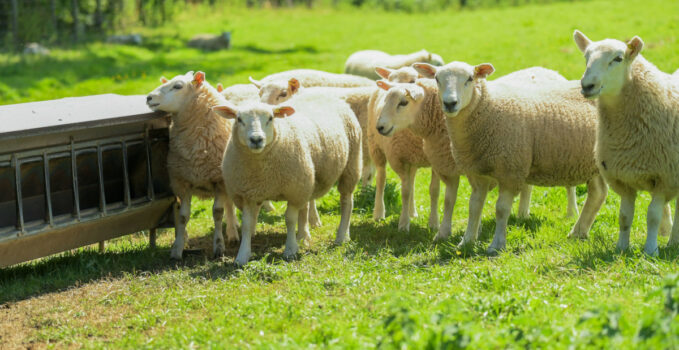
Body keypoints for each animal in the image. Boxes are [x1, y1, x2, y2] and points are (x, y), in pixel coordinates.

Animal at [146, 70, 239, 260]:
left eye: (178, 86)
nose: (149, 97)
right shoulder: (182, 182)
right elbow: (182, 216)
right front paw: (177, 248)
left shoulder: (219, 181)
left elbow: (218, 213)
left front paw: (219, 246)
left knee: (229, 205)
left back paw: (233, 233)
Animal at [214, 90, 364, 266]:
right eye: (239, 119)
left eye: (271, 118)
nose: (256, 139)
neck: (262, 172)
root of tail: (322, 92)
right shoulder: (248, 194)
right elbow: (246, 225)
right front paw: (242, 256)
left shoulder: (293, 191)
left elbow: (290, 220)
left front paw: (290, 250)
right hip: (307, 179)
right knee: (306, 206)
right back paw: (304, 236)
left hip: (350, 165)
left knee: (347, 201)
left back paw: (341, 236)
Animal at [414, 59, 612, 252]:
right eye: (437, 79)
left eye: (470, 78)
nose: (450, 103)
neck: (488, 110)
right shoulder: (477, 172)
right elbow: (474, 206)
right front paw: (466, 241)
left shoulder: (510, 171)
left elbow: (501, 209)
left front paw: (496, 245)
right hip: (590, 163)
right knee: (598, 193)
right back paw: (578, 232)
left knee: (598, 193)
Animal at [572, 30, 679, 254]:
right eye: (586, 57)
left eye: (618, 59)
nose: (587, 86)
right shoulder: (624, 177)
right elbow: (624, 216)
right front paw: (621, 248)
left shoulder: (664, 176)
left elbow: (653, 216)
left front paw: (650, 250)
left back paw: (674, 241)